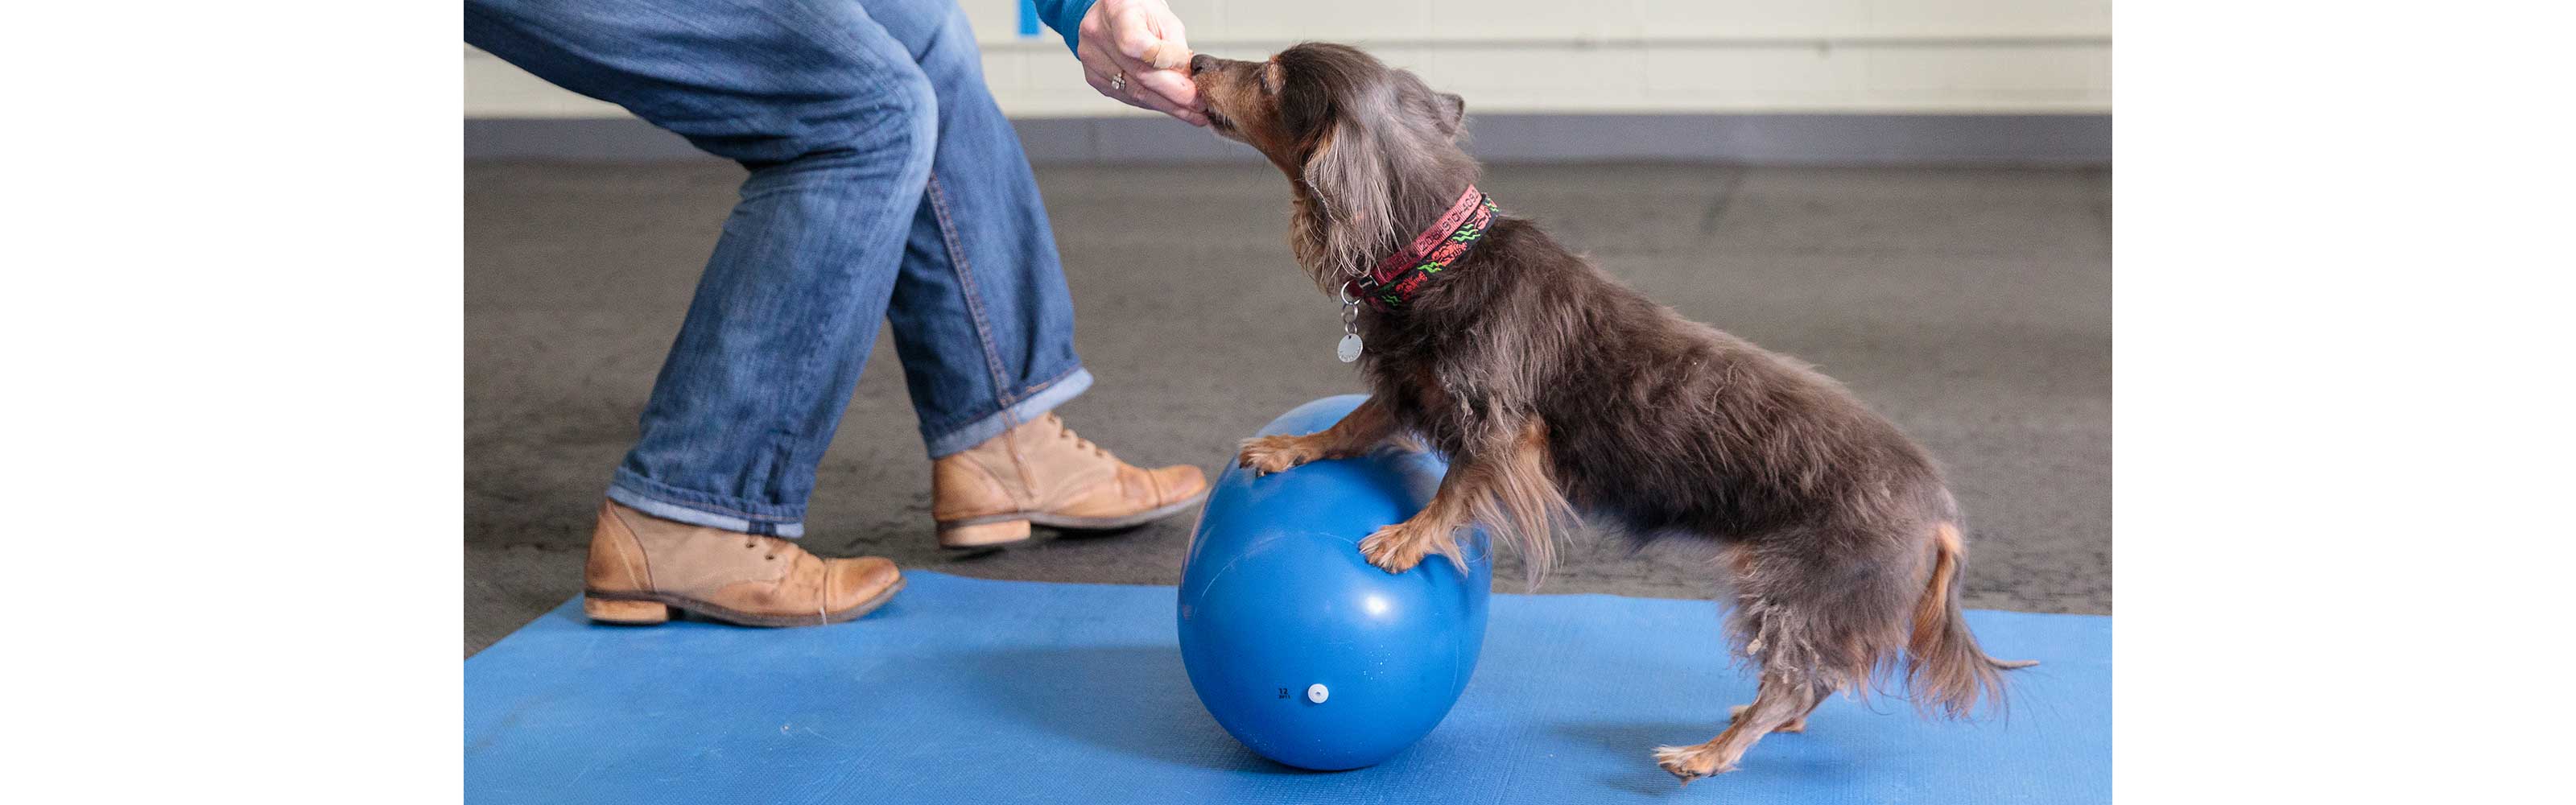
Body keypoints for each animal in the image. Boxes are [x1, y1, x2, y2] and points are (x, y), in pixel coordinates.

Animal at [1195, 42, 2040, 778]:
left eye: (1272, 76)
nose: (1197, 60)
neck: (1442, 254)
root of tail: (1941, 517)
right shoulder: (1410, 389)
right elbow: (1350, 425)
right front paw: (1290, 448)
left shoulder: (1502, 429)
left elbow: (1457, 485)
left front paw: (1409, 537)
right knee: (1815, 683)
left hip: (1796, 591)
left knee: (1799, 680)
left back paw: (1709, 754)